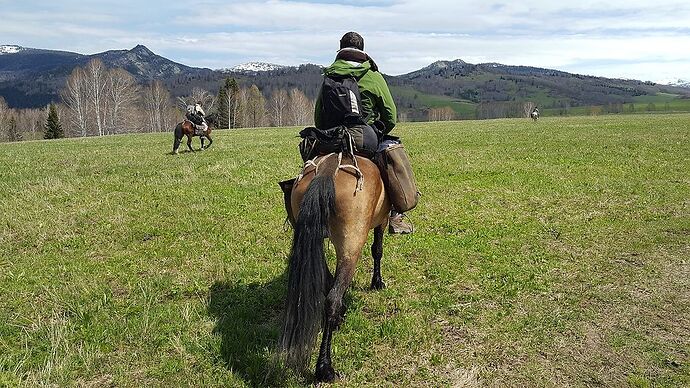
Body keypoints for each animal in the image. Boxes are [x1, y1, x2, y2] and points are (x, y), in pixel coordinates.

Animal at [276, 152, 390, 382]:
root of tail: (327, 169)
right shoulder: (382, 221)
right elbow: (377, 249)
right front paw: (377, 282)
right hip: (351, 242)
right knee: (332, 299)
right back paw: (325, 367)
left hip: (313, 237)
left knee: (326, 281)